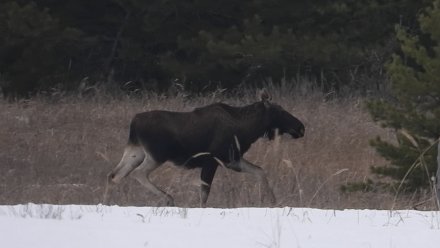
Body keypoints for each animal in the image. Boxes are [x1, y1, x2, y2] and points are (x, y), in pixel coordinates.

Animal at [107, 90, 306, 206]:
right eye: (279, 110)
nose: (301, 127)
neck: (247, 130)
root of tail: (134, 123)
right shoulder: (212, 160)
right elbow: (204, 194)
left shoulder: (231, 159)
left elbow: (260, 171)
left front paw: (273, 201)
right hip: (157, 154)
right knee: (137, 173)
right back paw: (168, 198)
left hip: (136, 151)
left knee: (114, 175)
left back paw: (109, 200)